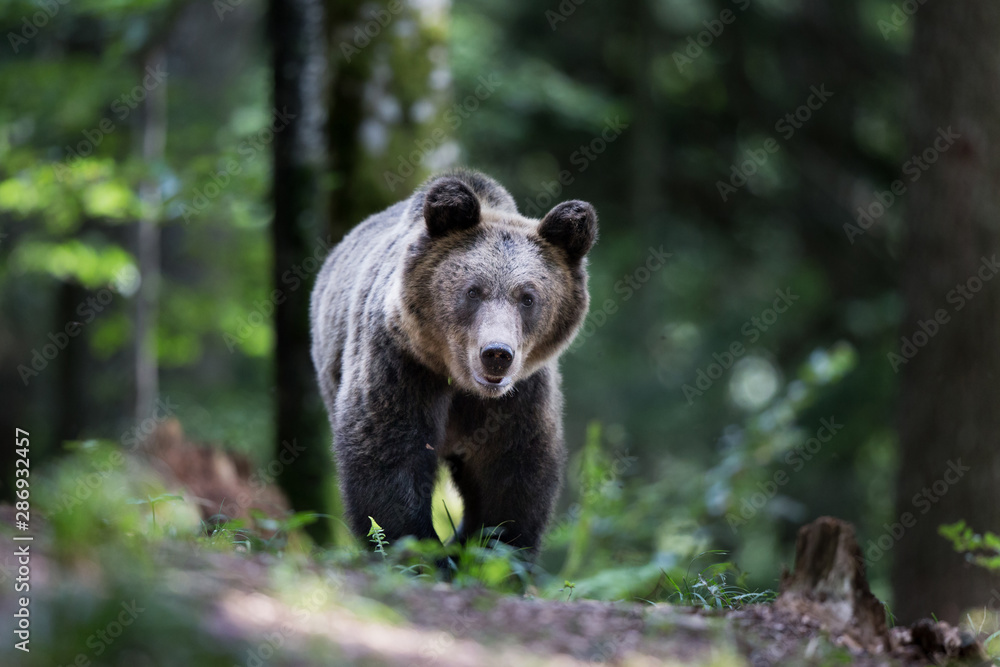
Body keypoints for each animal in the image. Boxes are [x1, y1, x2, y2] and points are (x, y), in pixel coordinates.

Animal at [308, 170, 596, 556]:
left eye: (528, 297)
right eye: (473, 291)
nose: (496, 354)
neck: (461, 382)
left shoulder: (520, 395)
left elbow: (511, 475)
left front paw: (492, 550)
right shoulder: (402, 365)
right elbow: (388, 457)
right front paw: (421, 553)